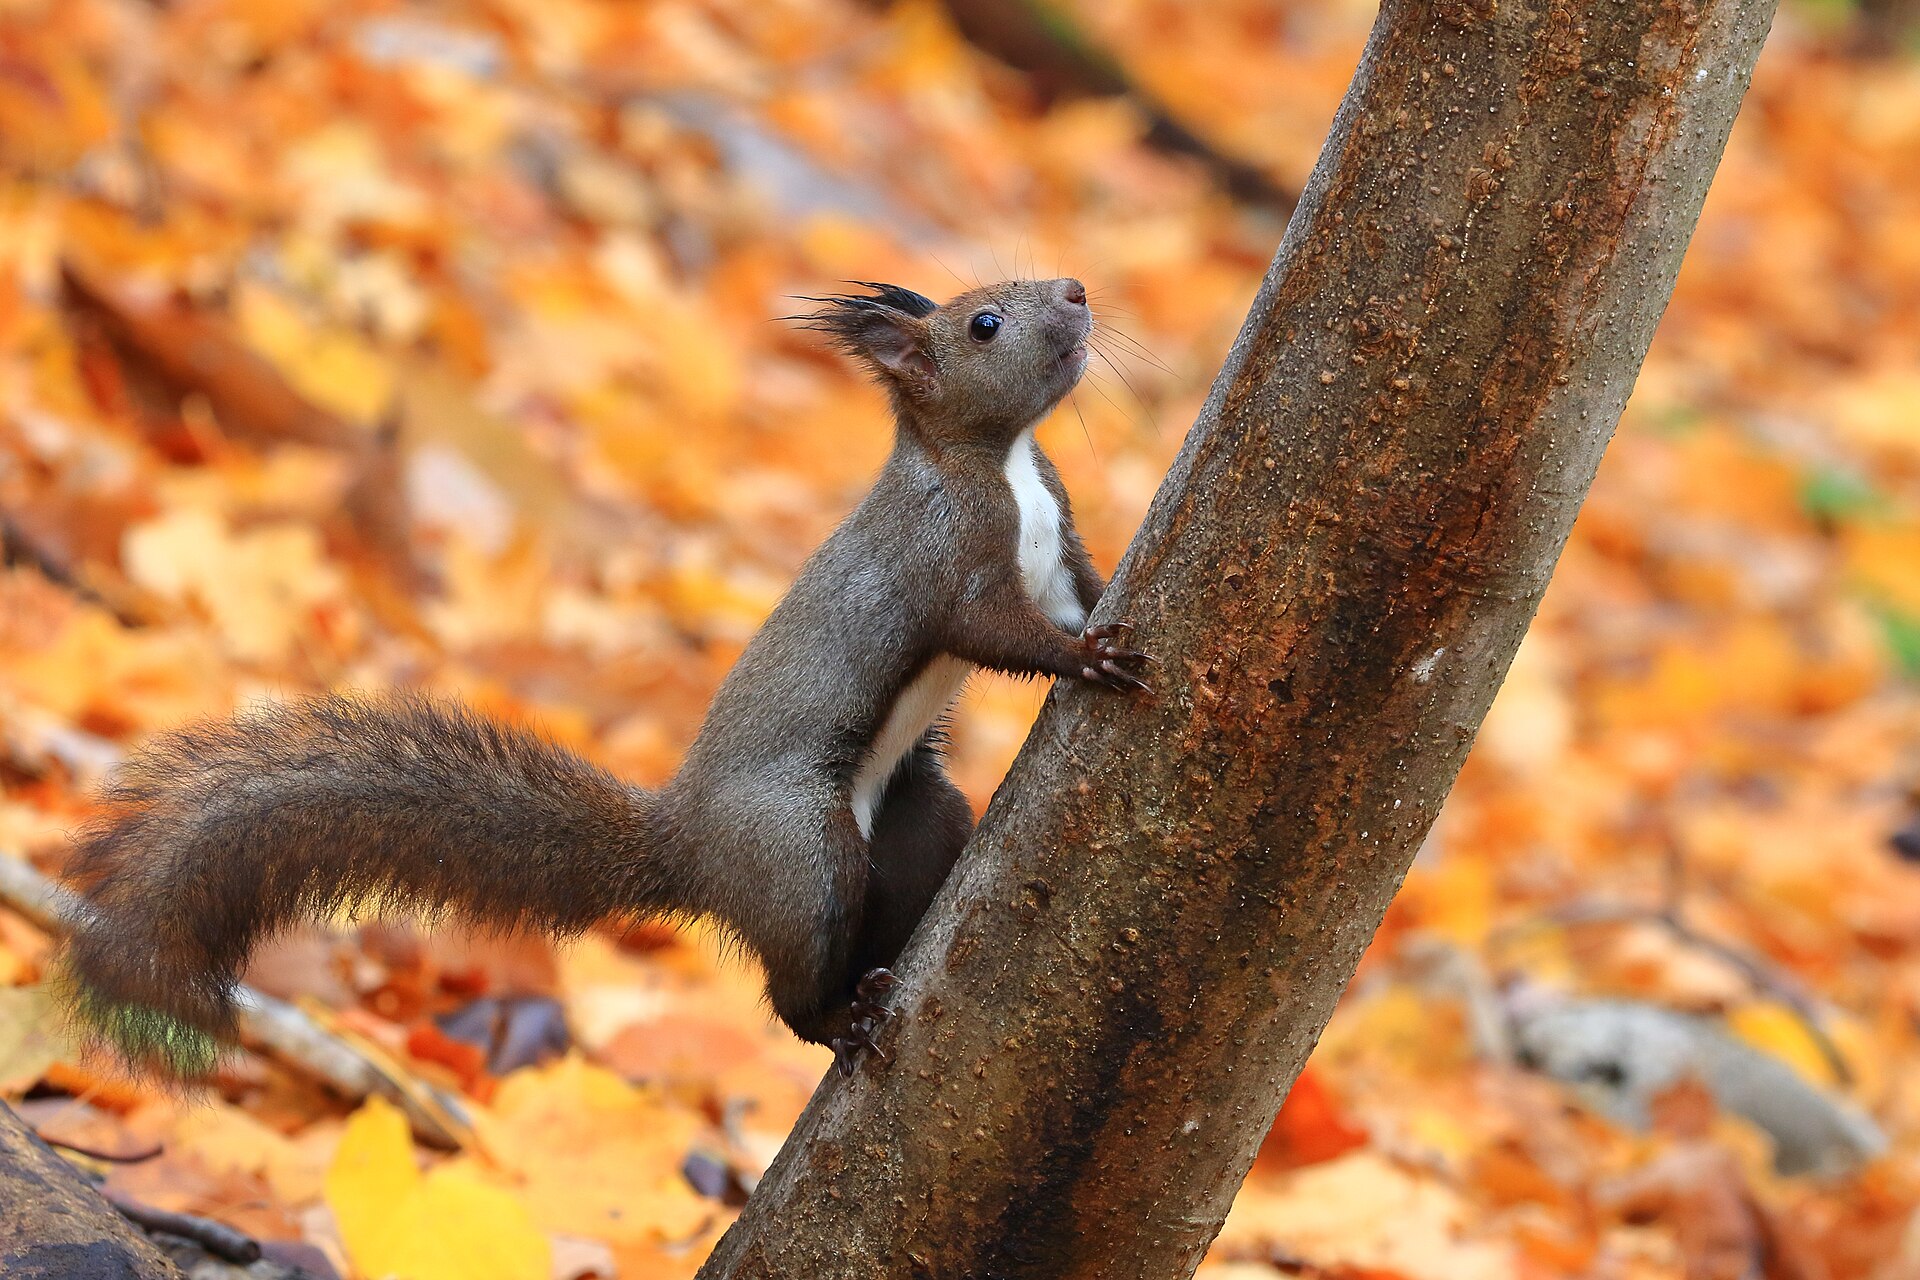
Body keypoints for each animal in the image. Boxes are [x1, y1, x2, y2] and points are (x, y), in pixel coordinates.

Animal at [58, 277, 1153, 1077]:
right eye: (984, 323)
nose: (1076, 289)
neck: (1003, 461)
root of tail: (690, 845)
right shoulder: (949, 558)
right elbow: (997, 631)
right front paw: (1089, 659)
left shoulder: (1059, 549)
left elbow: (1080, 590)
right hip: (801, 853)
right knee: (794, 978)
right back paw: (840, 1019)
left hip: (914, 817)